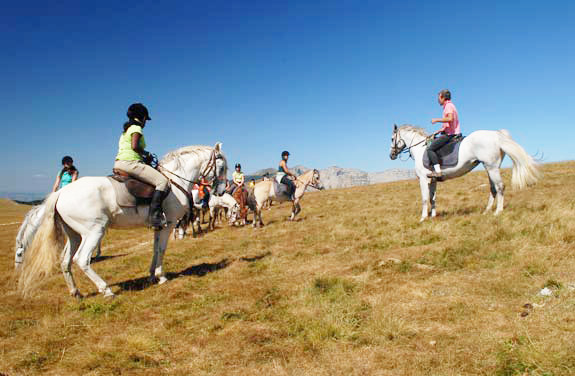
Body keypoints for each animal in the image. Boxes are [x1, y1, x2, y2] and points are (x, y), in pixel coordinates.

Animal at [390, 125, 544, 222]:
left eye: (392, 138)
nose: (391, 155)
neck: (420, 149)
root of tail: (496, 134)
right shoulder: (432, 180)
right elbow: (433, 198)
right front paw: (433, 216)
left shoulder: (422, 179)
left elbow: (424, 198)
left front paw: (423, 218)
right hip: (489, 167)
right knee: (493, 188)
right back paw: (486, 211)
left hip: (492, 167)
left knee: (500, 187)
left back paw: (497, 212)